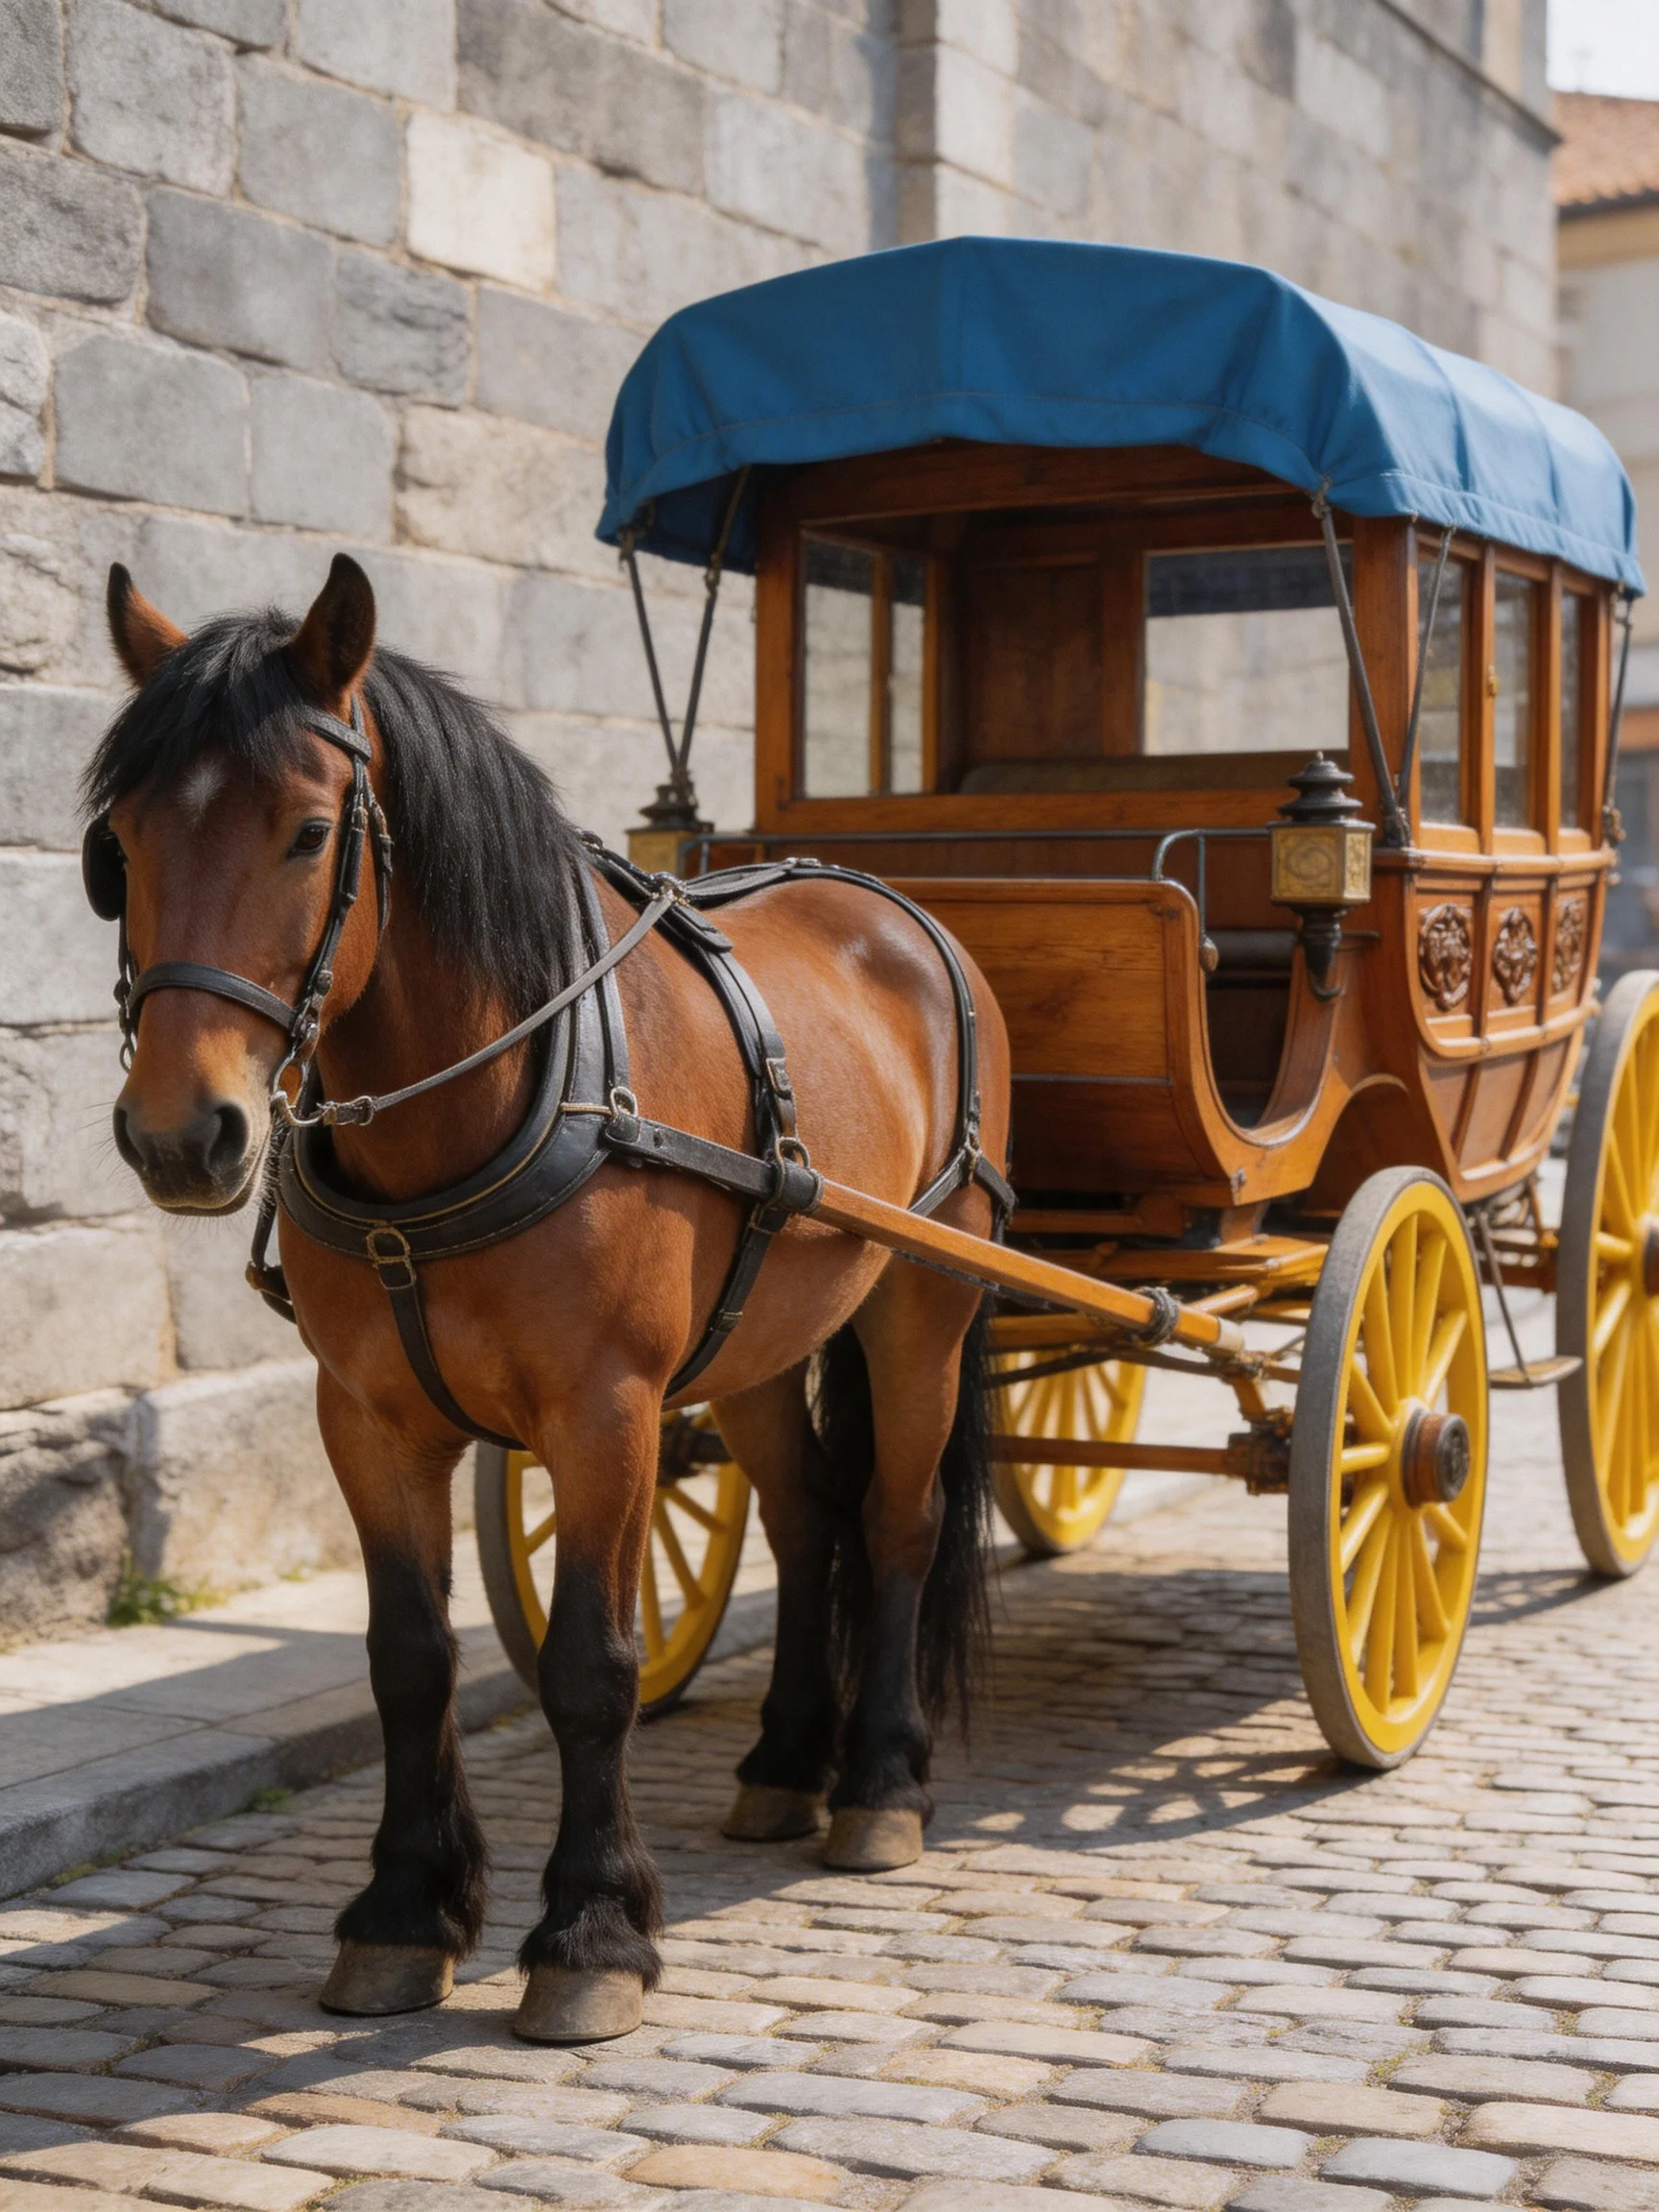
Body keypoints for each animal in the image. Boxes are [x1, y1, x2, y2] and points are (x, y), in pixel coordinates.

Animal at [87, 552, 1012, 2043]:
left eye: (307, 833)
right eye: (118, 847)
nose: (182, 1136)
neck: (472, 1108)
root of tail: (900, 908)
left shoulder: (607, 1412)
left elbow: (593, 1664)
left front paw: (590, 1933)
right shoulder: (369, 1419)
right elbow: (409, 1658)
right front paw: (406, 1913)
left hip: (923, 1299)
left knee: (897, 1520)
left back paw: (877, 1784)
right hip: (763, 1335)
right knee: (808, 1517)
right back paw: (785, 1764)